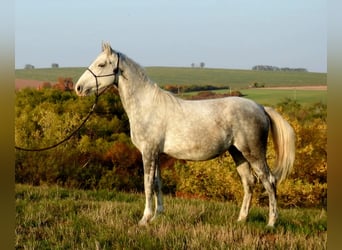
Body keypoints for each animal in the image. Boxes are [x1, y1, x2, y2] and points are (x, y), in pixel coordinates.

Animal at [75, 43, 294, 227]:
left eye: (101, 64)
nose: (78, 88)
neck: (147, 105)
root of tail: (261, 108)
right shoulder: (156, 154)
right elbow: (157, 183)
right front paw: (157, 215)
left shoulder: (148, 152)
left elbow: (147, 184)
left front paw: (144, 219)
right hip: (238, 153)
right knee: (249, 183)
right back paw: (241, 219)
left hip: (254, 153)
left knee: (269, 181)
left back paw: (271, 223)